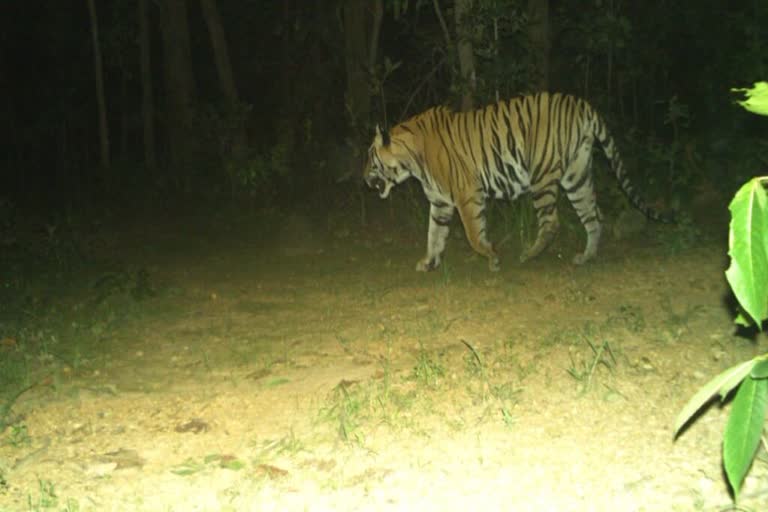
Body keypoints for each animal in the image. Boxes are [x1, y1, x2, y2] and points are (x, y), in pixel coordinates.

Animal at [364, 90, 668, 272]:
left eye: (370, 157)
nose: (363, 177)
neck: (412, 161)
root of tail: (582, 105)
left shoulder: (467, 194)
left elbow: (473, 234)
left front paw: (492, 257)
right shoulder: (440, 202)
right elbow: (434, 234)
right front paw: (429, 262)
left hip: (542, 174)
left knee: (552, 222)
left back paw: (529, 255)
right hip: (576, 175)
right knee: (594, 215)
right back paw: (586, 257)